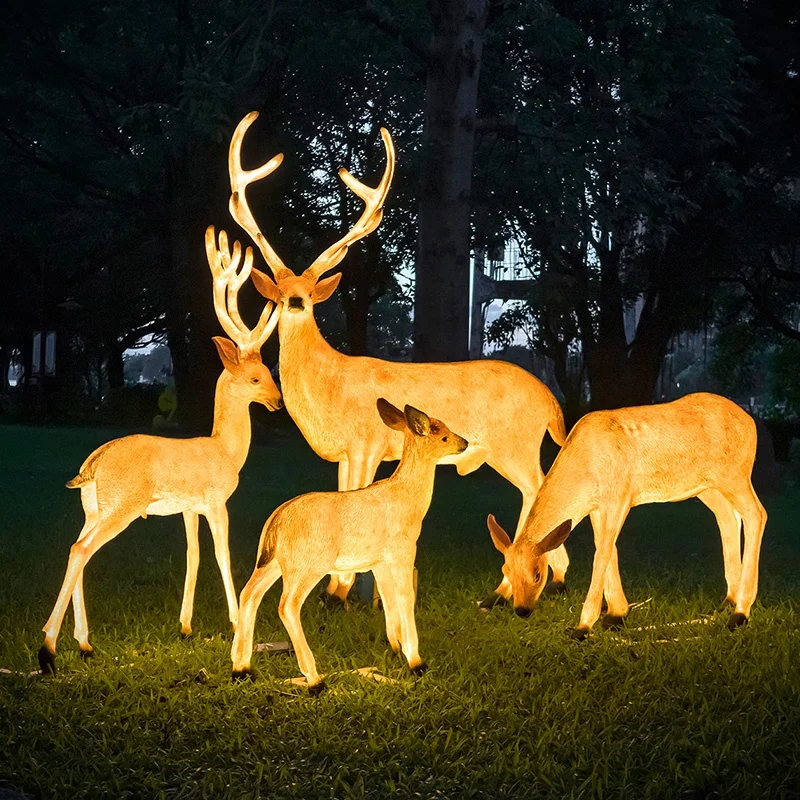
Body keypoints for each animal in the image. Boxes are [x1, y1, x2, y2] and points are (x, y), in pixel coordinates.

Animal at [38, 228, 282, 675]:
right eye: (257, 378)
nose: (277, 402)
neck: (225, 450)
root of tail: (92, 465)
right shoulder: (216, 500)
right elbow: (221, 553)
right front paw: (234, 619)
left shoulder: (188, 507)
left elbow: (193, 554)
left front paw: (185, 625)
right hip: (123, 504)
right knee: (81, 550)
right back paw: (49, 647)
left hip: (93, 507)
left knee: (76, 548)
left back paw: (83, 643)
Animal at [219, 110, 570, 609]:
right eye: (283, 292)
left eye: (307, 294)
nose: (293, 301)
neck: (327, 383)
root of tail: (550, 400)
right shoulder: (344, 453)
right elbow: (343, 496)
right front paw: (341, 590)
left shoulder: (367, 443)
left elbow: (355, 496)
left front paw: (338, 593)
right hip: (507, 450)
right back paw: (524, 586)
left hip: (515, 443)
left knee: (541, 491)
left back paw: (529, 585)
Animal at [230, 398, 469, 693]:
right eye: (442, 434)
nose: (464, 442)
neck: (409, 499)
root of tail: (276, 521)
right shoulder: (402, 550)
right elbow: (405, 598)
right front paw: (416, 663)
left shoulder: (379, 561)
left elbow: (388, 600)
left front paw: (395, 649)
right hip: (308, 564)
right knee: (287, 605)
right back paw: (315, 680)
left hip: (272, 562)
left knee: (249, 594)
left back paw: (241, 669)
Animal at [486, 392, 768, 638]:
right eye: (505, 569)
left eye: (537, 574)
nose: (522, 610)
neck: (584, 467)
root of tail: (752, 425)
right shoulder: (597, 506)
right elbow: (607, 548)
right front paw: (616, 615)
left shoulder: (619, 495)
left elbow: (602, 552)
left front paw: (583, 627)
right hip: (707, 486)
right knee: (729, 517)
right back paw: (729, 600)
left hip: (735, 474)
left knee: (757, 514)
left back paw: (740, 612)